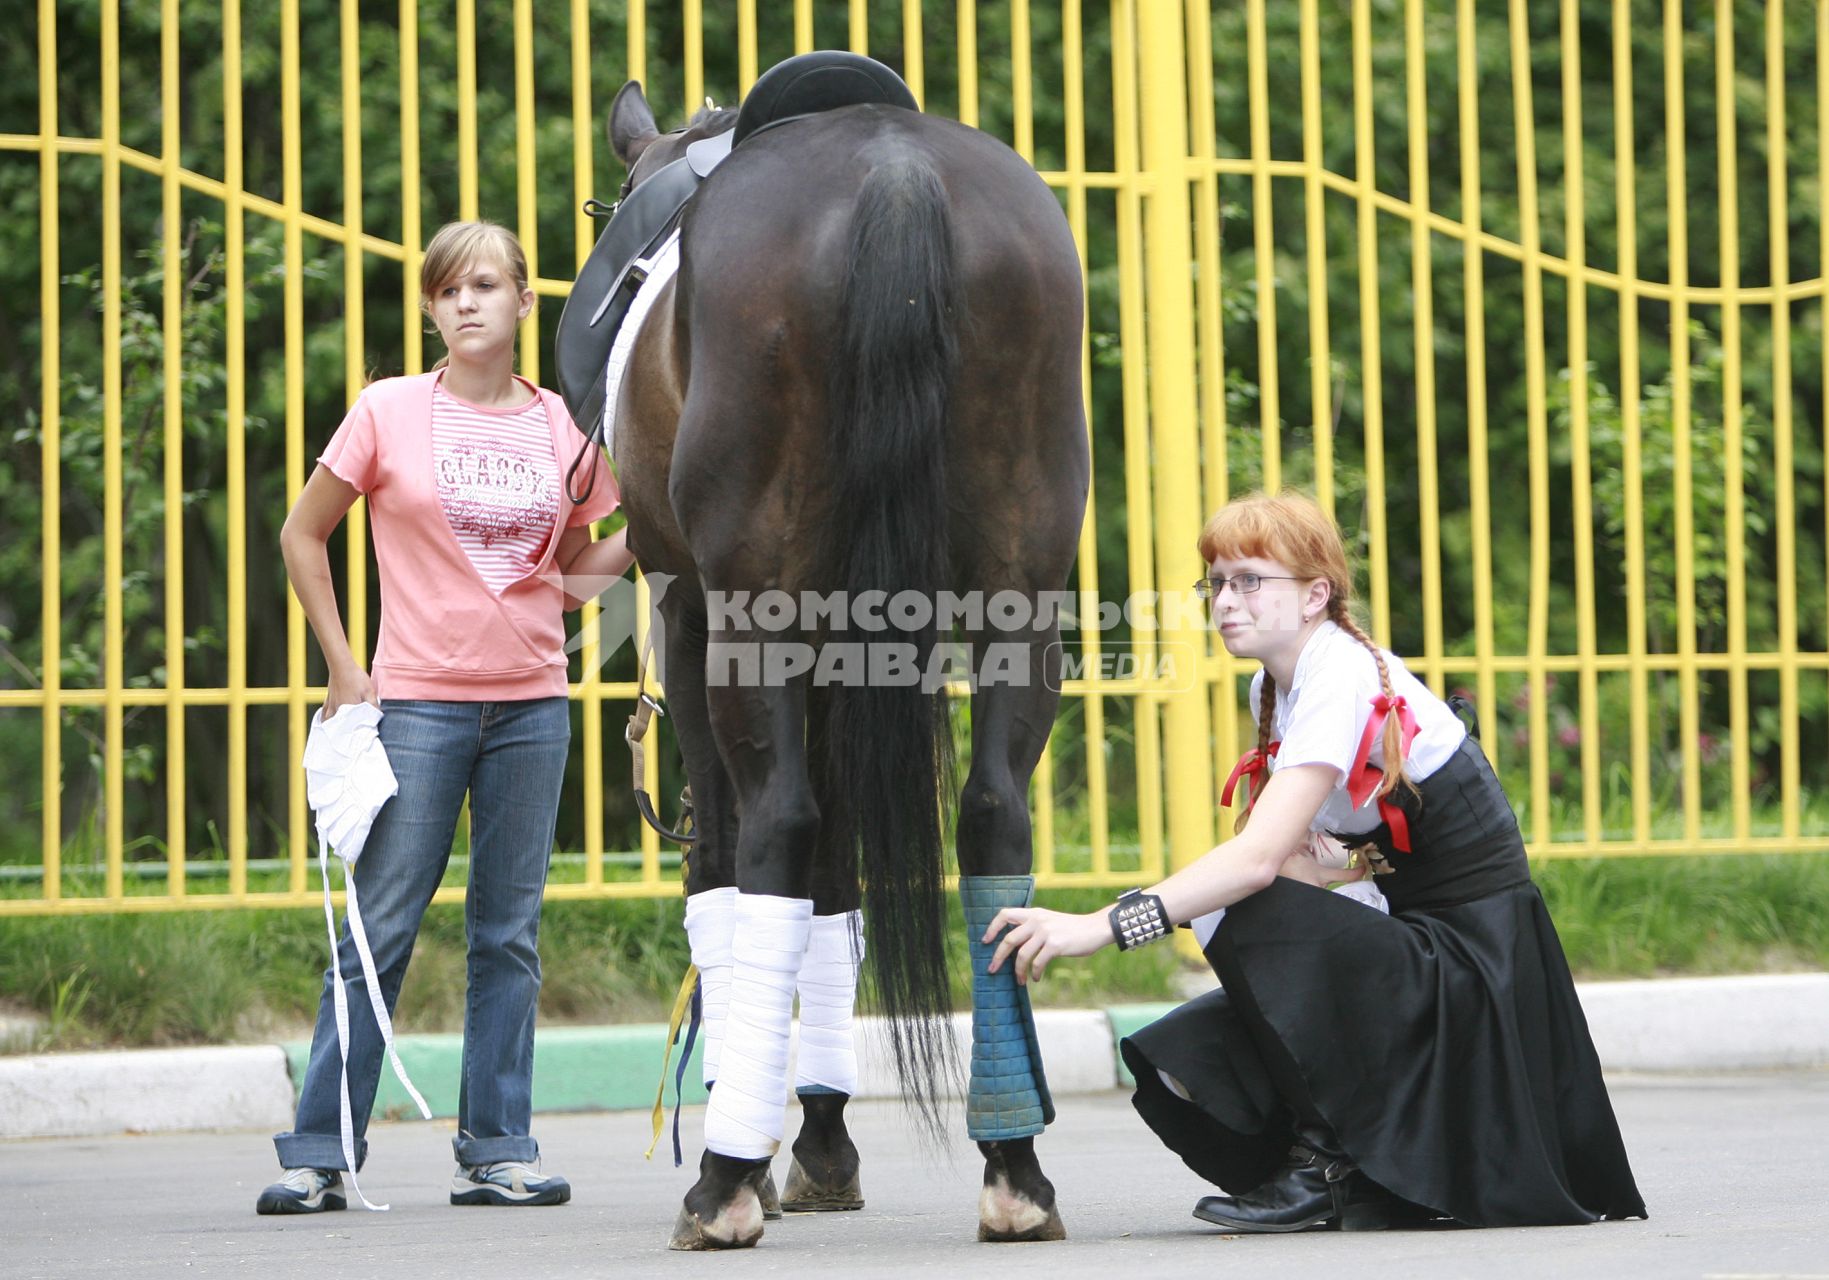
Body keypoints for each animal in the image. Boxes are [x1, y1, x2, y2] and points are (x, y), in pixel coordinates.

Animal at [607, 72, 1082, 1250]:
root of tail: (894, 171)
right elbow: (837, 886)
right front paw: (821, 1141)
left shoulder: (692, 614)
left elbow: (729, 865)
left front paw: (762, 1144)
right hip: (1017, 599)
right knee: (992, 812)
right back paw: (1013, 1162)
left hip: (750, 614)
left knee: (775, 825)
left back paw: (722, 1182)